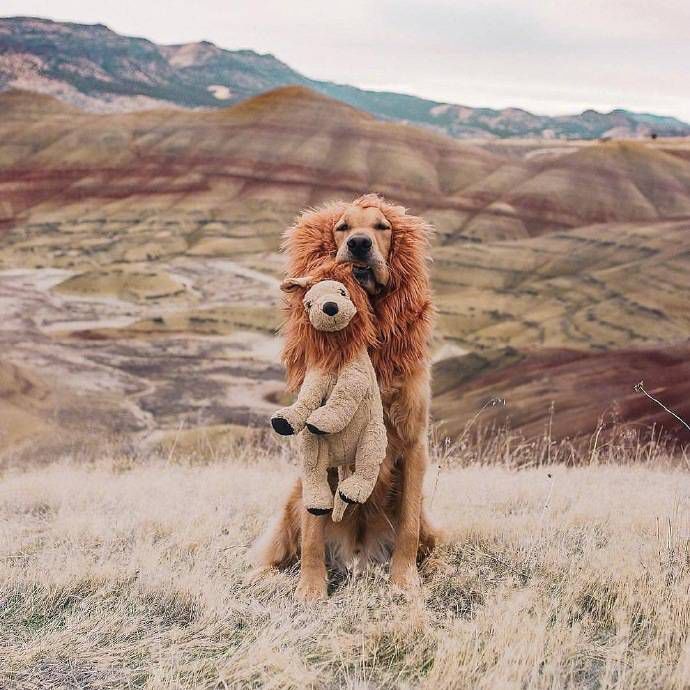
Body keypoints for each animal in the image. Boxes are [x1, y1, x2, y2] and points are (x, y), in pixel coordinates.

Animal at [251, 192, 436, 596]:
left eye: (382, 227)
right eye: (342, 227)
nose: (359, 244)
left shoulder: (414, 442)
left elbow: (408, 527)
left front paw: (404, 583)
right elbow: (312, 531)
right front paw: (311, 590)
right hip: (291, 501)